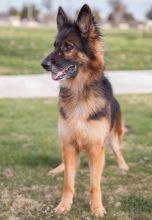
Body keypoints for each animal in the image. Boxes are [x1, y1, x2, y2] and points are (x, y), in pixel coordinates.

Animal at [41, 4, 129, 217]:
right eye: (54, 45)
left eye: (68, 46)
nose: (44, 64)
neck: (79, 92)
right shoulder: (69, 145)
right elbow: (68, 182)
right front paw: (64, 205)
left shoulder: (96, 148)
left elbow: (94, 184)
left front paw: (96, 207)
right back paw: (58, 168)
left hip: (114, 133)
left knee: (116, 148)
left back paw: (123, 165)